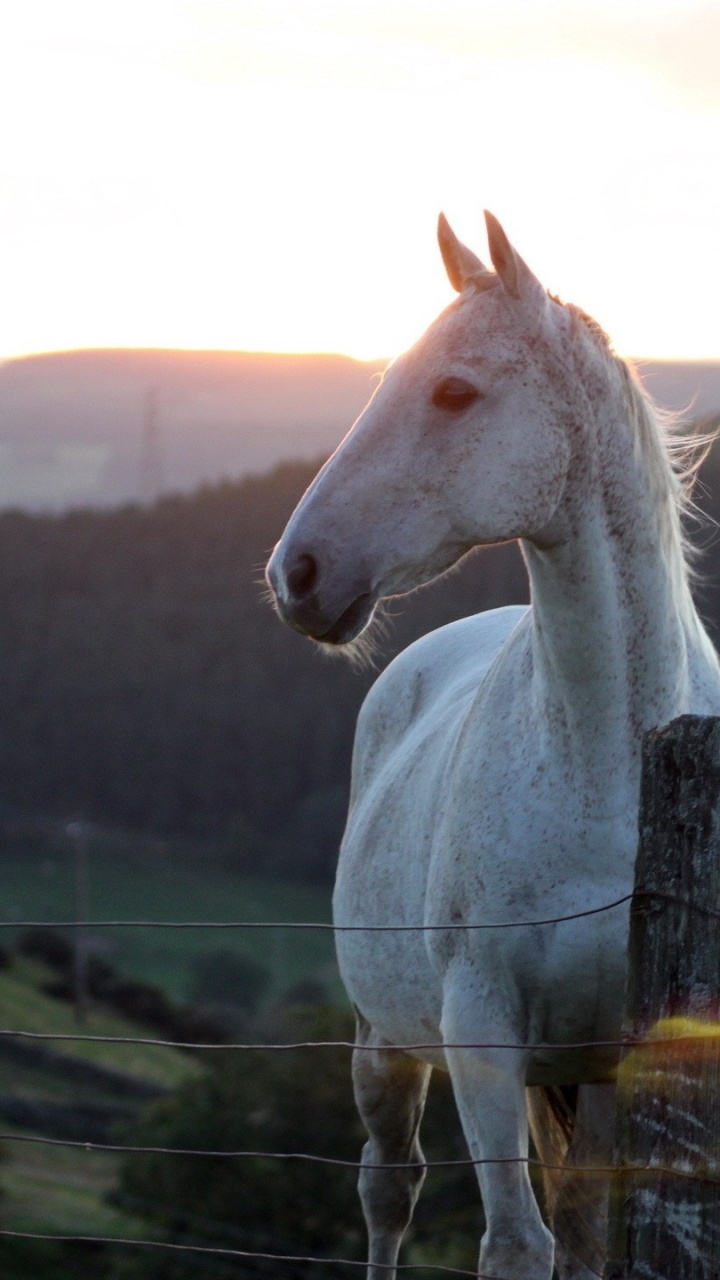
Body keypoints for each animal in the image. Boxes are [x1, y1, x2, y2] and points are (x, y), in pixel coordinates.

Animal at [265, 211, 720, 1280]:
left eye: (454, 390)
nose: (296, 573)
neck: (612, 762)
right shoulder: (480, 1031)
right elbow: (516, 1245)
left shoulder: (630, 1059)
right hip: (386, 1047)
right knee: (388, 1189)